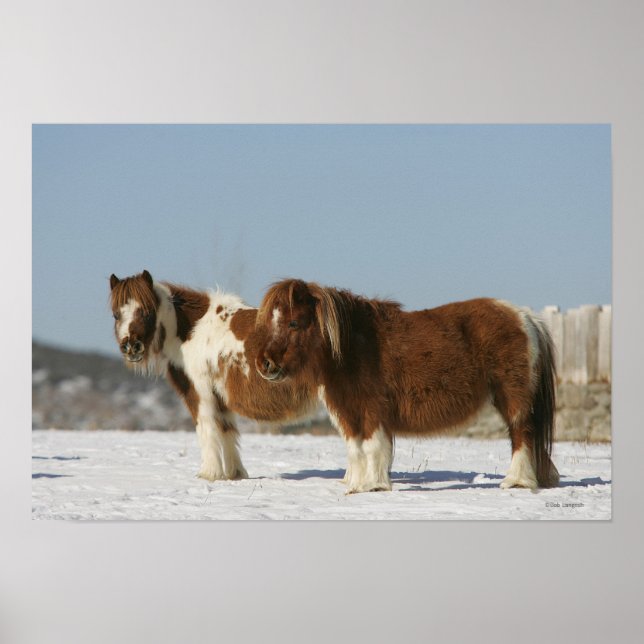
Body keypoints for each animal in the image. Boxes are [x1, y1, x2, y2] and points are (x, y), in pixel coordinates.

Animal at [109, 270, 317, 481]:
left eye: (147, 311)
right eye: (116, 314)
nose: (131, 346)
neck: (192, 331)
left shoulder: (201, 393)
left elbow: (207, 428)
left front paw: (209, 473)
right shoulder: (220, 397)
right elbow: (226, 430)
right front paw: (235, 474)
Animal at [255, 279, 560, 494]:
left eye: (294, 322)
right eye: (271, 321)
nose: (264, 364)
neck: (354, 345)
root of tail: (525, 316)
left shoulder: (371, 408)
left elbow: (372, 446)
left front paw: (373, 485)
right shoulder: (347, 411)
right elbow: (355, 449)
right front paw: (356, 486)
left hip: (513, 399)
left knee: (521, 434)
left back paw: (516, 482)